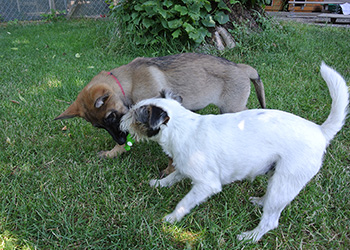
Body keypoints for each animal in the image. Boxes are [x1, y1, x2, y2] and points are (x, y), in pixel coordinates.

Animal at [55, 53, 266, 172]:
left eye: (111, 116)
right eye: (99, 126)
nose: (120, 140)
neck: (129, 83)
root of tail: (243, 68)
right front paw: (112, 152)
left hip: (232, 107)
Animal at [119, 63, 348, 242]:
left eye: (134, 116)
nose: (121, 121)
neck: (183, 128)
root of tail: (320, 131)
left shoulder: (207, 184)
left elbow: (184, 203)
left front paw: (171, 219)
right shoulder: (185, 167)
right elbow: (173, 176)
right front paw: (159, 184)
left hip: (285, 183)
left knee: (270, 221)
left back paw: (249, 237)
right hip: (276, 177)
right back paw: (260, 202)